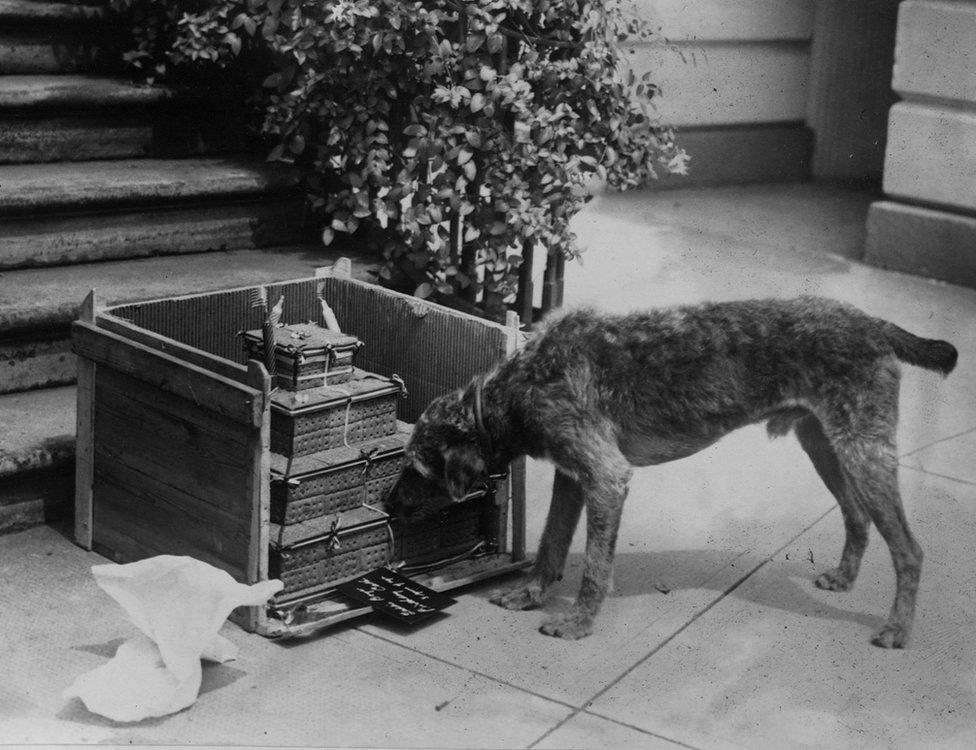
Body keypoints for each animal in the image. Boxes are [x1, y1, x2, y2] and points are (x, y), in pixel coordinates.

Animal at [386, 296, 956, 648]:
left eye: (416, 467)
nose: (388, 506)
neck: (509, 393)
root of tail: (874, 324)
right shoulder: (574, 477)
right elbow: (550, 545)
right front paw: (530, 596)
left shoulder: (607, 477)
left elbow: (594, 566)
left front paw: (579, 623)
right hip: (826, 445)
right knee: (857, 516)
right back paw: (844, 578)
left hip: (863, 452)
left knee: (910, 550)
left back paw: (897, 630)